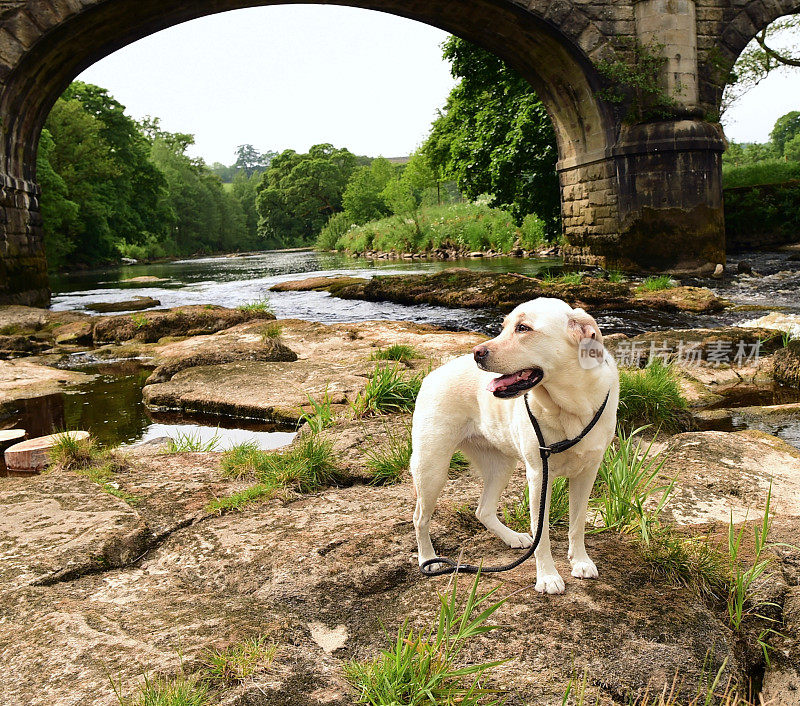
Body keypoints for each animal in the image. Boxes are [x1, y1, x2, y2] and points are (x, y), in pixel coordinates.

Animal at [412, 294, 620, 592]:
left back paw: (511, 537)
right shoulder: (539, 476)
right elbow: (541, 534)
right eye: (503, 327)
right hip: (432, 468)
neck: (570, 406)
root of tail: (435, 372)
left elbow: (577, 524)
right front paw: (547, 577)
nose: (477, 352)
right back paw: (428, 558)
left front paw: (580, 561)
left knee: (483, 510)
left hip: (501, 466)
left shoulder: (587, 473)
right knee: (420, 518)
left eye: (523, 328)